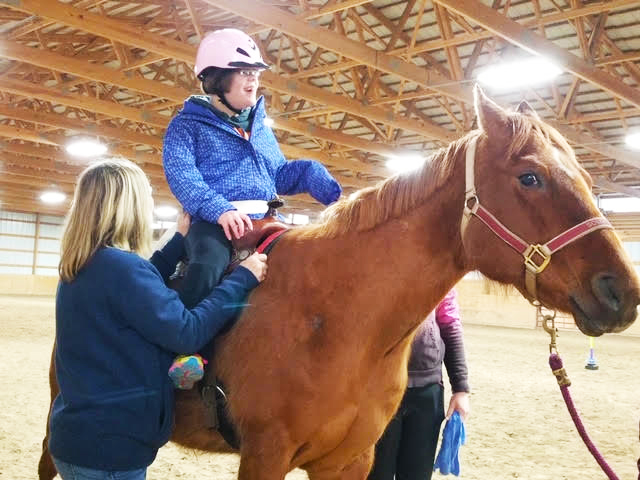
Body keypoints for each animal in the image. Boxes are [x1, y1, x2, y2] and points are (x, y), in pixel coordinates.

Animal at [37, 87, 636, 480]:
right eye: (530, 177)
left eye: (586, 177)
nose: (622, 292)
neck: (338, 319)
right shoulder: (265, 457)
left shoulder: (348, 461)